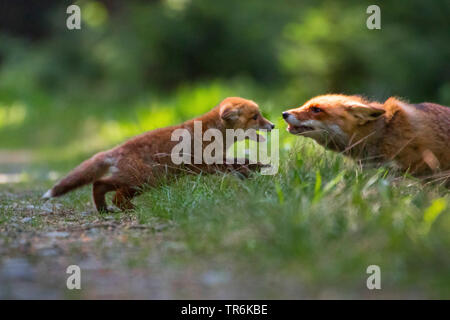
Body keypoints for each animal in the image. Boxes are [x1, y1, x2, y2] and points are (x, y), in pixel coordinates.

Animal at [43, 97, 274, 212]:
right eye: (255, 117)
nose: (272, 125)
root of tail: (115, 150)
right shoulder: (202, 163)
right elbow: (234, 164)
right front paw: (249, 171)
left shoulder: (214, 160)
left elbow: (240, 161)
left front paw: (257, 168)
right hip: (144, 181)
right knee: (112, 193)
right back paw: (130, 210)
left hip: (143, 181)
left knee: (99, 185)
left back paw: (103, 209)